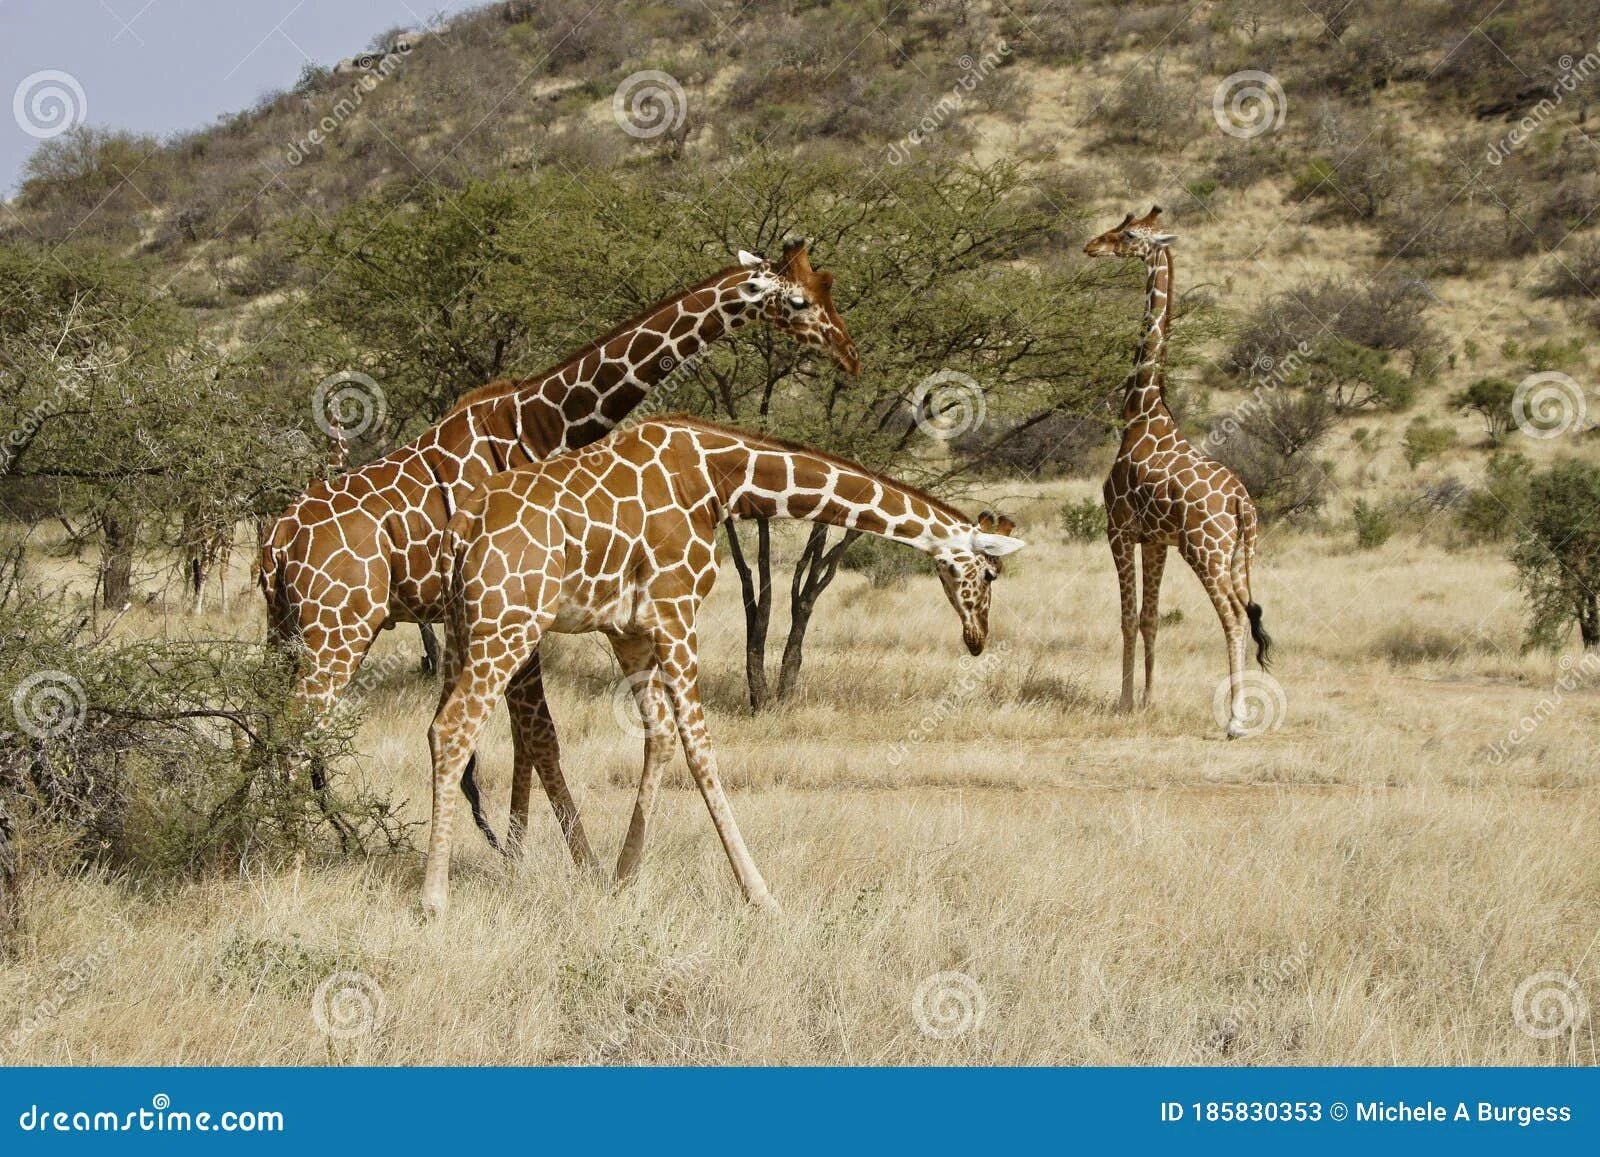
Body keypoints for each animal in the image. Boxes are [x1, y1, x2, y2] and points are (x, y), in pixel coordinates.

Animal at [259, 242, 858, 851]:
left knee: (263, 727)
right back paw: (294, 850)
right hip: (339, 630)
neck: (543, 423)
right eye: (800, 300)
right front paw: (574, 860)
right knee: (293, 730)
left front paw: (517, 850)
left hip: (286, 628)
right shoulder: (516, 608)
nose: (850, 354)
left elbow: (523, 739)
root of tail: (278, 539)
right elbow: (540, 736)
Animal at [419, 416, 1026, 916]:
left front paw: (621, 881)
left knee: (446, 728)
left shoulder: (628, 628)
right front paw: (761, 896)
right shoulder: (676, 607)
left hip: (461, 628)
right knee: (453, 729)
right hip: (509, 624)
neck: (719, 481)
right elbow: (699, 746)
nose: (977, 638)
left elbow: (661, 736)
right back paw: (433, 900)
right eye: (990, 574)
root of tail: (460, 528)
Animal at [1083, 208, 1271, 737]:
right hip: (1239, 555)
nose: (1092, 245)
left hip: (1206, 551)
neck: (1142, 413)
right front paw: (1148, 700)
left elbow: (1127, 618)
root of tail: (1241, 503)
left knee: (1233, 617)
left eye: (1128, 234)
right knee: (1249, 610)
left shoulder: (1118, 529)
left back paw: (1236, 719)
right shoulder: (1156, 540)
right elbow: (1150, 618)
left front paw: (1124, 701)